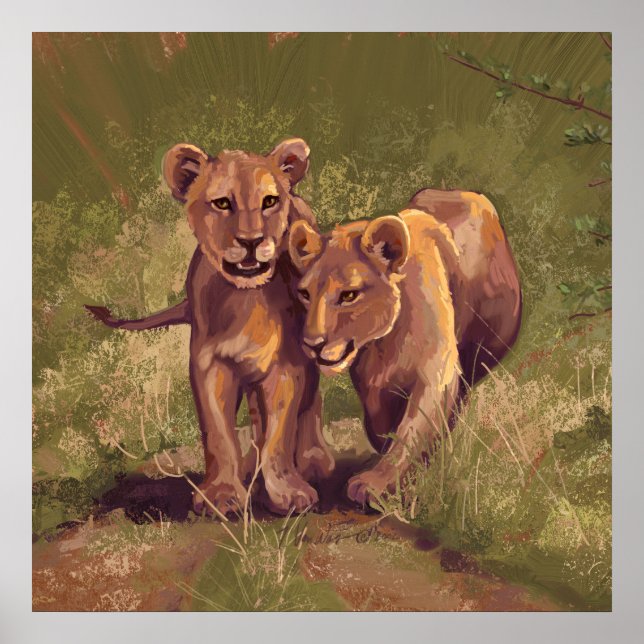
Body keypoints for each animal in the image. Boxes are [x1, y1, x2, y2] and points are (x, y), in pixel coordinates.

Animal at [86, 139, 334, 516]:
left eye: (269, 202)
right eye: (222, 203)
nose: (251, 240)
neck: (247, 298)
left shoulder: (287, 366)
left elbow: (281, 432)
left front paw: (288, 491)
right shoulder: (209, 365)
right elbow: (218, 434)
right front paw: (221, 494)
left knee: (309, 404)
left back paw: (312, 461)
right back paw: (251, 469)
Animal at [288, 190, 521, 505]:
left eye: (349, 295)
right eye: (305, 294)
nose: (312, 344)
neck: (385, 342)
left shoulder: (436, 372)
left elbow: (412, 430)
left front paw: (375, 483)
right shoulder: (373, 382)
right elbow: (383, 420)